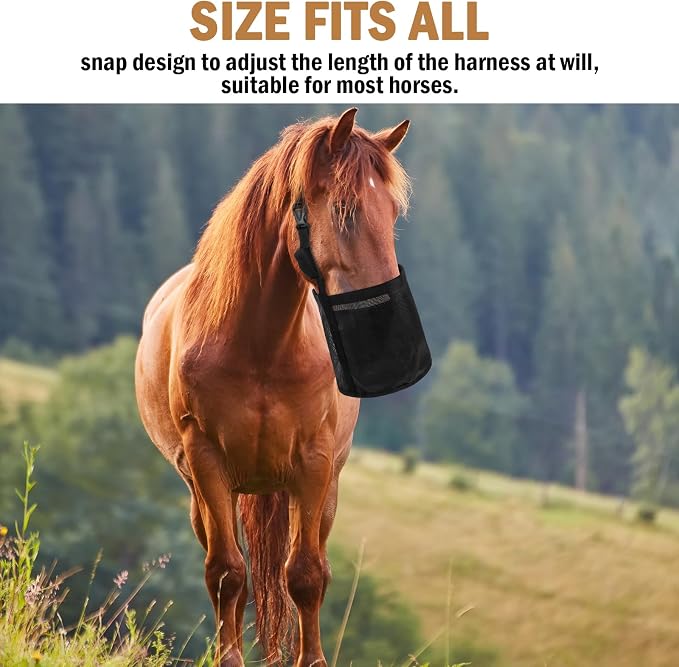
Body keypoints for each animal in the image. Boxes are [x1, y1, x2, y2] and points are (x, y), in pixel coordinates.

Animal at [134, 107, 412, 666]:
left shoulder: (314, 463)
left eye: (393, 212)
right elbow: (227, 574)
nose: (387, 333)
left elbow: (305, 576)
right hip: (205, 495)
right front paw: (229, 659)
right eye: (346, 211)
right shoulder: (208, 463)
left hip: (321, 493)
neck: (260, 346)